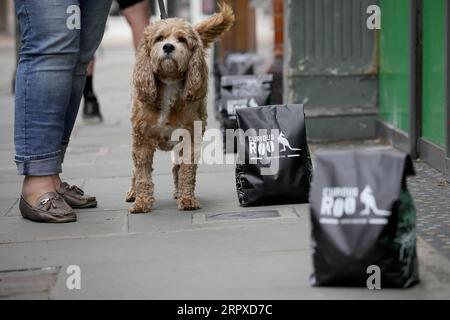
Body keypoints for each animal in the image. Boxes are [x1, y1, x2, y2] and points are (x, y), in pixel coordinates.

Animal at [125, 3, 234, 214]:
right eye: (159, 38)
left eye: (182, 39)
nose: (168, 47)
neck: (169, 84)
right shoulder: (141, 141)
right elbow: (142, 175)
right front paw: (142, 202)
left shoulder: (189, 139)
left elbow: (186, 171)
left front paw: (187, 199)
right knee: (134, 170)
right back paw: (133, 192)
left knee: (176, 167)